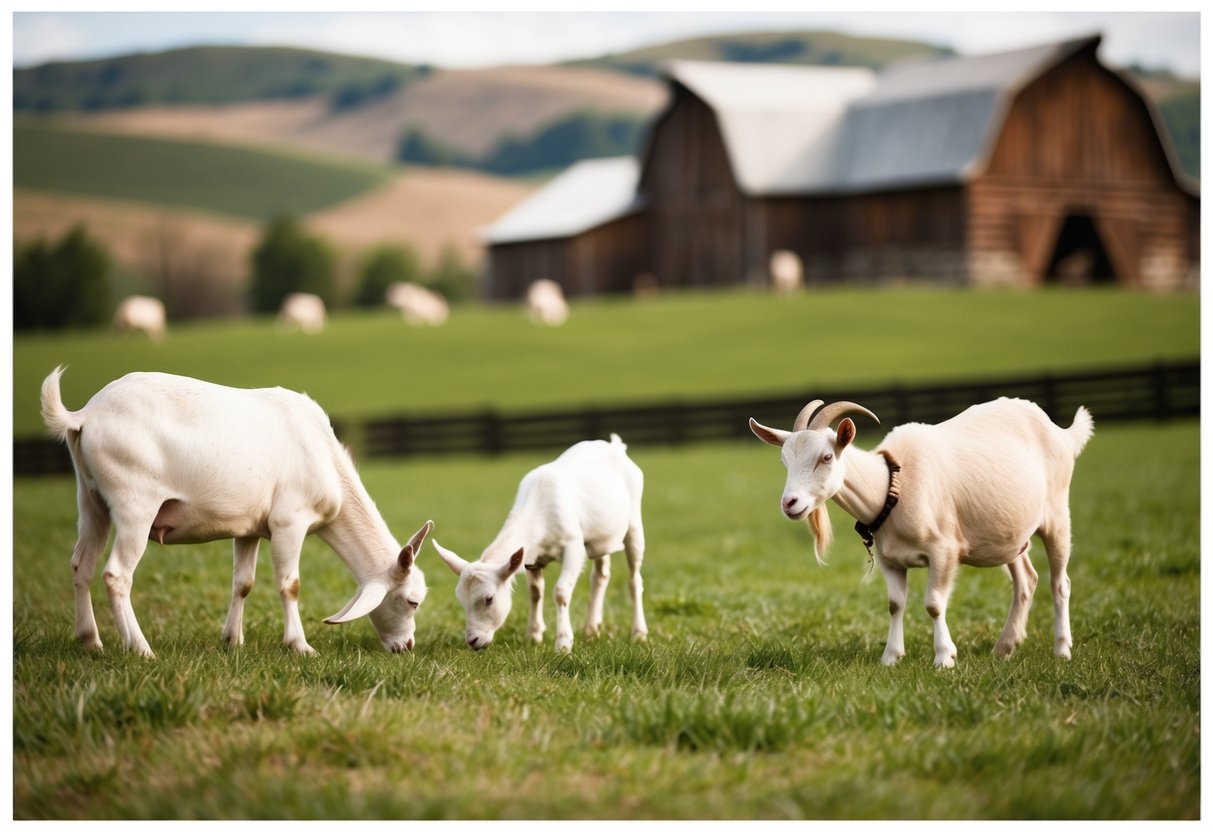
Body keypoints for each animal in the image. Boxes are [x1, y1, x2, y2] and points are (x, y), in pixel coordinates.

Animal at [40, 366, 431, 658]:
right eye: (412, 601)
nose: (407, 646)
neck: (326, 459)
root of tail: (84, 416)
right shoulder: (289, 521)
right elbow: (290, 585)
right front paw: (300, 646)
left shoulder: (250, 528)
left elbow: (243, 583)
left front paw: (233, 641)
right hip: (134, 502)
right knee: (116, 575)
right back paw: (140, 648)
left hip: (91, 499)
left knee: (81, 564)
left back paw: (91, 641)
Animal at [431, 434, 647, 653]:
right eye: (460, 599)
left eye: (489, 599)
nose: (473, 641)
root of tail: (615, 445)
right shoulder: (532, 558)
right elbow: (535, 592)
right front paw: (534, 636)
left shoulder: (574, 546)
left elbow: (560, 592)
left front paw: (563, 644)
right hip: (599, 540)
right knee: (600, 575)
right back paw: (591, 630)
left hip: (634, 522)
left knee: (634, 579)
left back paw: (639, 633)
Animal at [750, 398, 1092, 668]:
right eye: (784, 461)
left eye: (826, 457)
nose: (790, 503)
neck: (891, 486)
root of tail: (1061, 433)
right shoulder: (889, 560)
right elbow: (895, 604)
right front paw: (890, 657)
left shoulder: (944, 550)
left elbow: (934, 604)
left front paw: (944, 658)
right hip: (1010, 534)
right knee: (1026, 580)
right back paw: (1005, 647)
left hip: (1057, 514)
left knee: (1060, 583)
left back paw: (1062, 650)